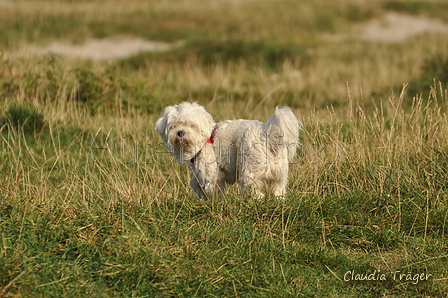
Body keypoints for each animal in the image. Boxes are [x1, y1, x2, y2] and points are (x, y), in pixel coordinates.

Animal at [156, 101, 302, 199]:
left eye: (191, 125)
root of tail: (269, 135)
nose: (180, 132)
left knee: (256, 192)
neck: (206, 139)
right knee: (278, 191)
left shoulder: (211, 172)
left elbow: (212, 188)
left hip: (249, 171)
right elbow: (194, 183)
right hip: (279, 174)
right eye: (174, 125)